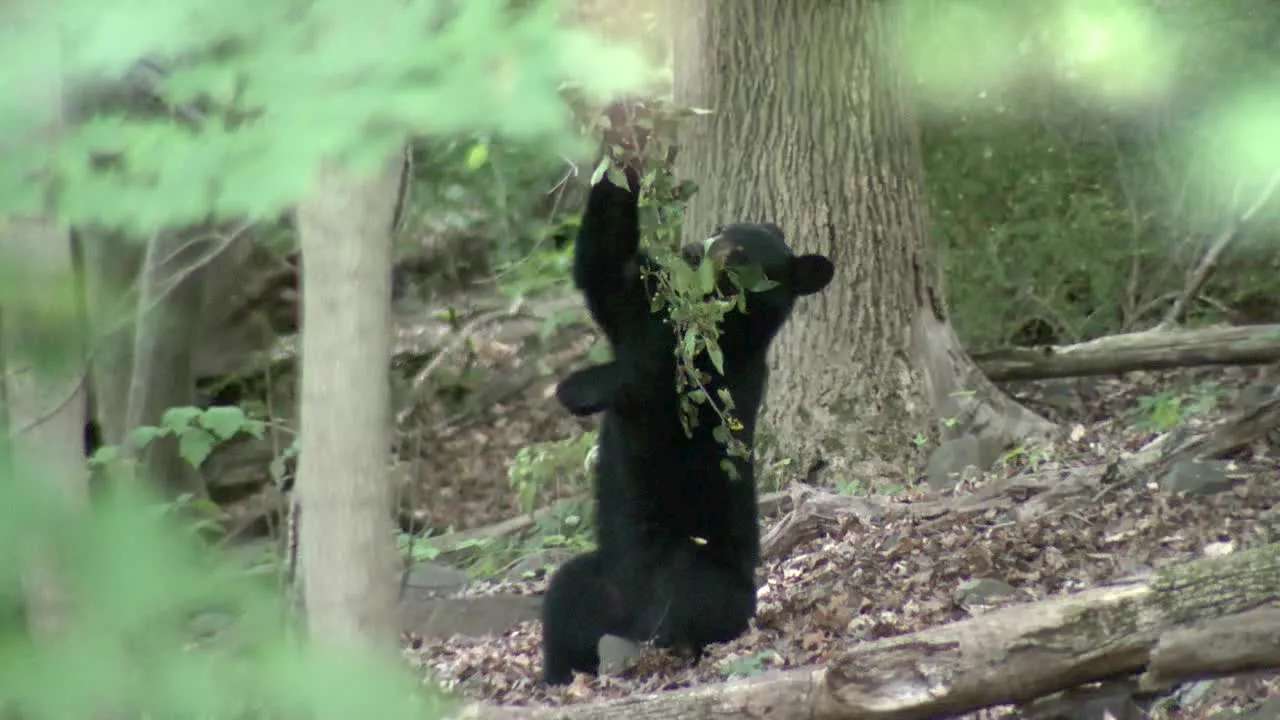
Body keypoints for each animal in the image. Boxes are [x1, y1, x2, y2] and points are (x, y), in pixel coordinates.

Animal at [537, 159, 829, 681]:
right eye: (719, 228)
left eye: (738, 254)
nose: (692, 250)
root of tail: (632, 617)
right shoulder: (645, 304)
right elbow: (608, 268)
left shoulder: (722, 369)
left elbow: (656, 380)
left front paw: (580, 388)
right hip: (598, 580)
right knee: (565, 600)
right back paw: (562, 672)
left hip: (705, 567)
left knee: (695, 600)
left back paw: (671, 645)